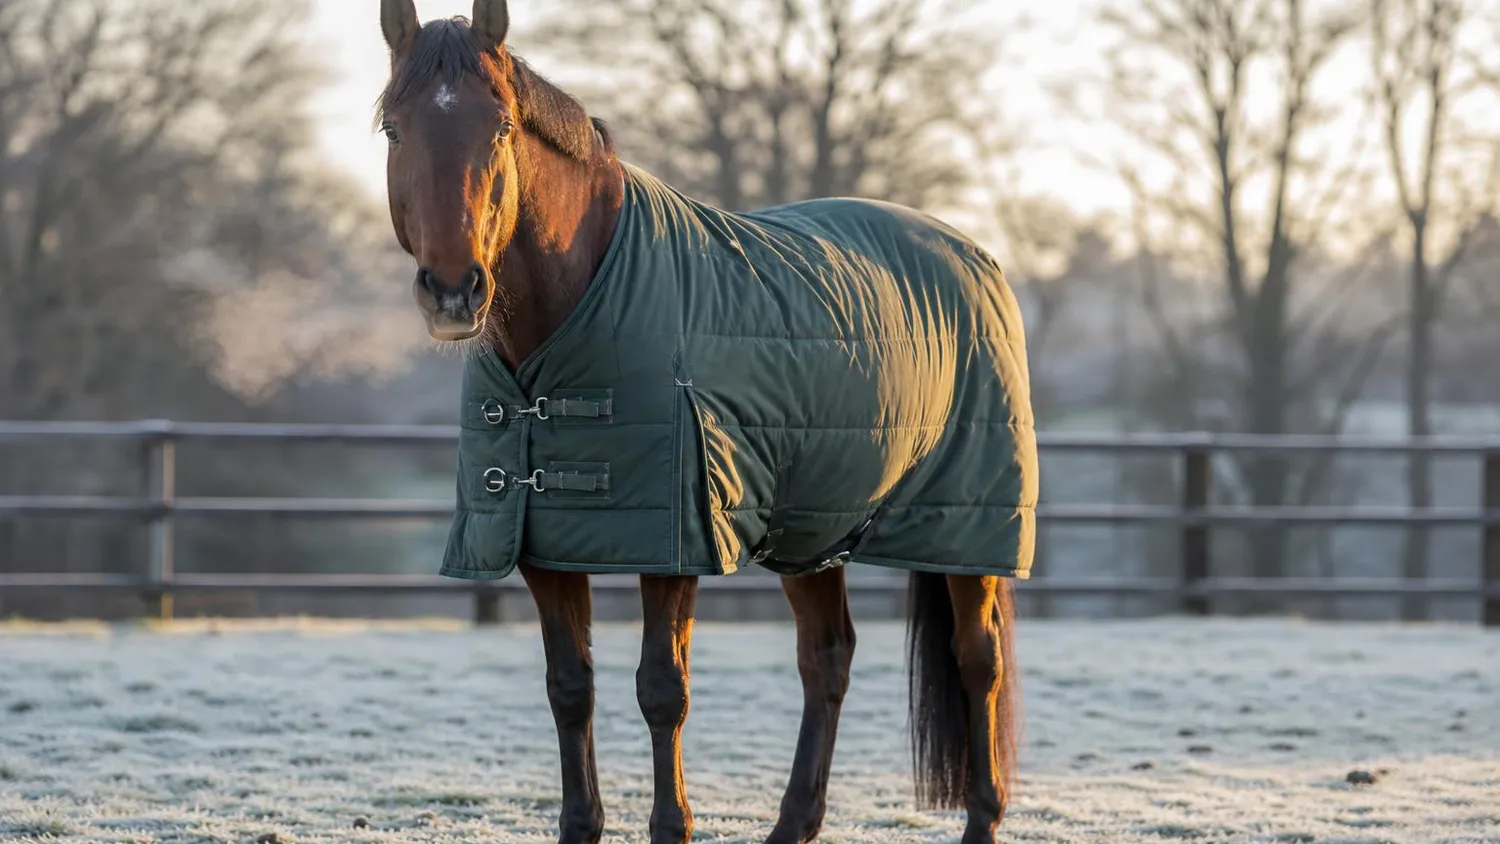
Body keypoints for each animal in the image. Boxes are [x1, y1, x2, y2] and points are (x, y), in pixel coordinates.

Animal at [375, 3, 1033, 843]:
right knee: (827, 658)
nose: (455, 291)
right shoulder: (540, 545)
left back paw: (980, 817)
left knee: (978, 661)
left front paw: (673, 824)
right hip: (813, 527)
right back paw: (792, 825)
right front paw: (581, 825)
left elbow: (663, 690)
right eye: (395, 129)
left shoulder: (673, 542)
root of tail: (975, 257)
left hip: (968, 529)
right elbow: (570, 689)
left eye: (498, 128)